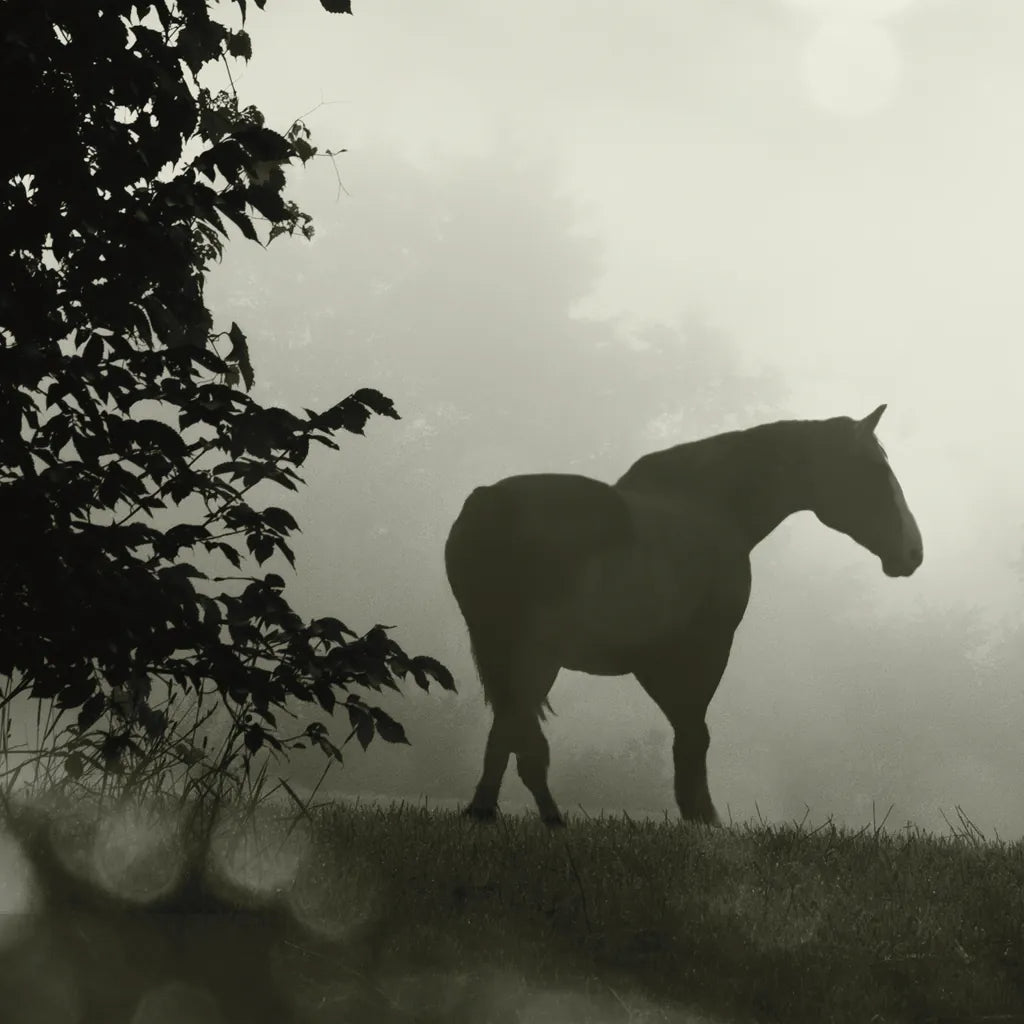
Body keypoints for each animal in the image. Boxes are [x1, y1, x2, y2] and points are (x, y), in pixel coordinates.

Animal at [444, 405, 923, 827]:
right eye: (875, 470)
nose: (914, 552)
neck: (711, 508)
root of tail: (488, 502)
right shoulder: (701, 648)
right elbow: (693, 730)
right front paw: (701, 817)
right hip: (534, 653)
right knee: (518, 729)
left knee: (510, 727)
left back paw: (496, 812)